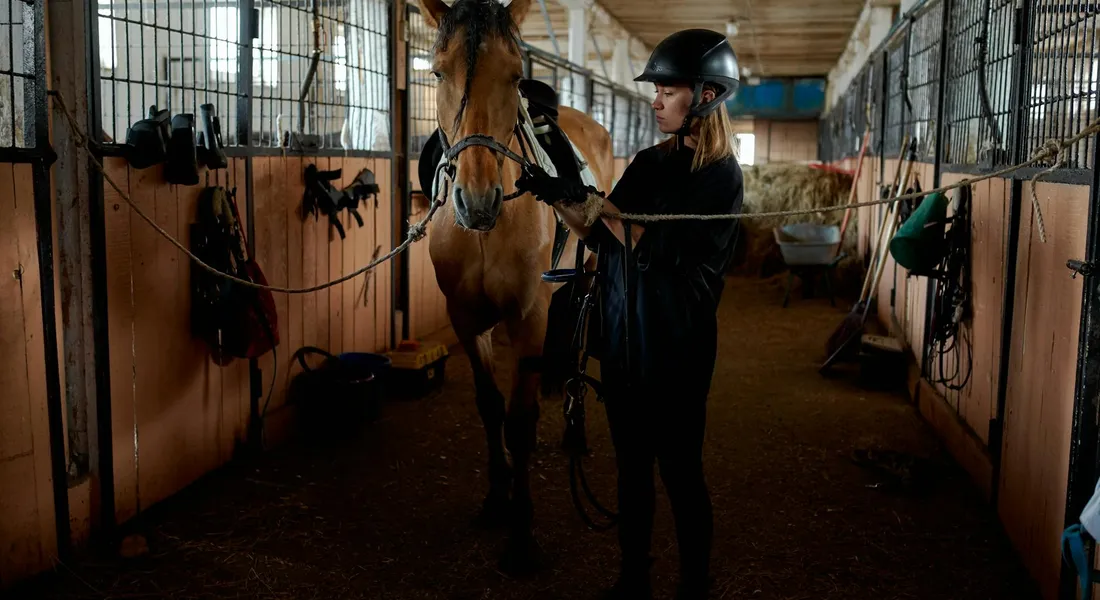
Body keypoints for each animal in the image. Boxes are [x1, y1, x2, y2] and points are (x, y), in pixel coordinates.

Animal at [417, 0, 614, 574]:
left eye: (513, 75)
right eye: (438, 73)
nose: (478, 200)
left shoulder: (528, 318)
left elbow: (520, 420)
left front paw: (522, 534)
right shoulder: (465, 318)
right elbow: (490, 407)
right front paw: (495, 498)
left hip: (586, 278)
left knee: (577, 350)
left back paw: (575, 434)